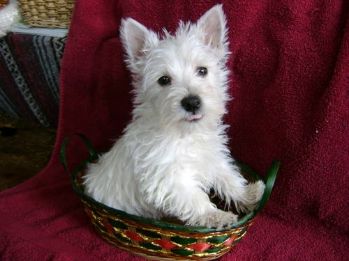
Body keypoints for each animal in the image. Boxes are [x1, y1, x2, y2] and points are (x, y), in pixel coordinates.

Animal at [84, 4, 264, 228]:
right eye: (164, 80)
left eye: (202, 70)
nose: (192, 102)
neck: (186, 133)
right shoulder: (168, 179)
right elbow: (196, 198)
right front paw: (216, 216)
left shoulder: (213, 157)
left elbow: (228, 177)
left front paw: (249, 194)